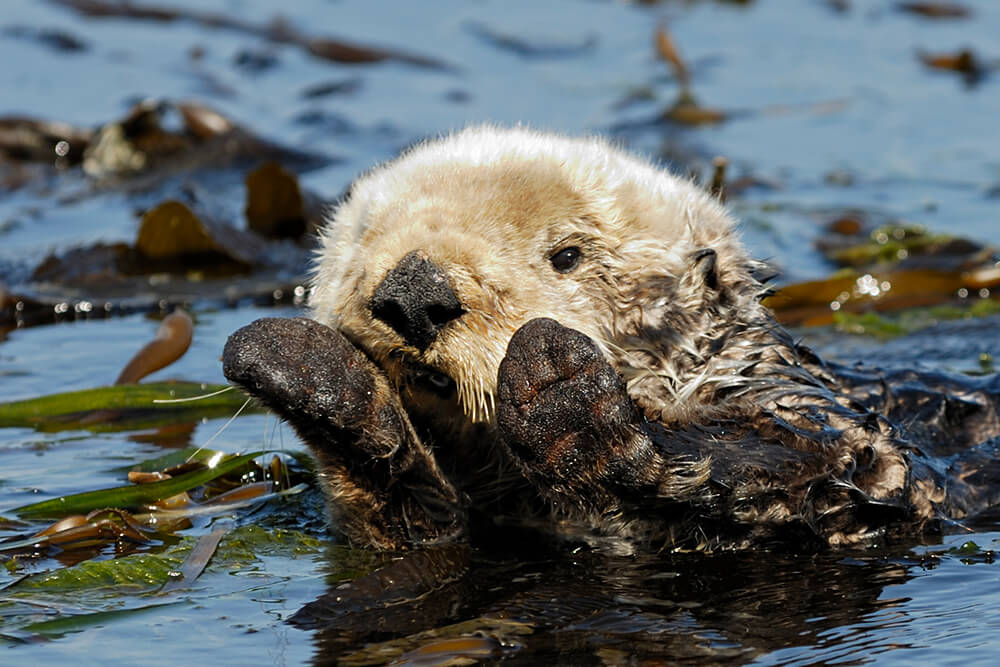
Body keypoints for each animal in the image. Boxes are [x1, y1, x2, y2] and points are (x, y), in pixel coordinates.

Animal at [225, 125, 1000, 552]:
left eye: (567, 255)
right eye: (365, 241)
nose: (414, 293)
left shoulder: (808, 416)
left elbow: (821, 461)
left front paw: (561, 391)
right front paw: (317, 376)